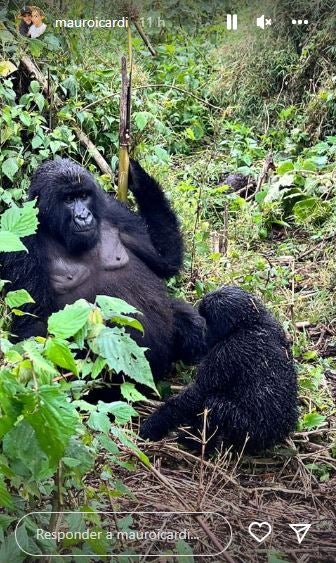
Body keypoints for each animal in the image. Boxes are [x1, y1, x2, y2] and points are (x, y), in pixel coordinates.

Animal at [140, 286, 298, 454]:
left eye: (209, 321)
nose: (204, 333)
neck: (250, 323)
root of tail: (281, 434)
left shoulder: (226, 353)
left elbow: (197, 393)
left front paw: (154, 425)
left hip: (253, 434)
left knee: (215, 406)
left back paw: (196, 443)